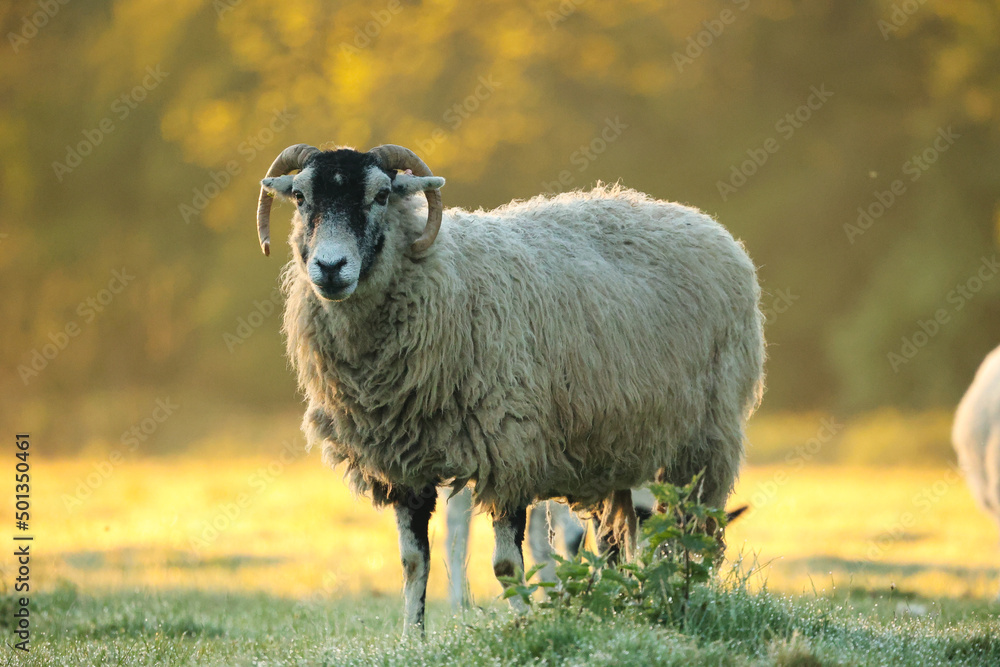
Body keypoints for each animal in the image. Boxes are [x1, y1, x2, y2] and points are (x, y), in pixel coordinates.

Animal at [254, 143, 766, 634]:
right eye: (300, 197)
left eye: (381, 195)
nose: (330, 267)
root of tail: (706, 223)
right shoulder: (405, 465)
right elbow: (413, 561)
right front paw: (411, 639)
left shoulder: (510, 449)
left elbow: (506, 566)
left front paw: (523, 624)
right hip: (620, 444)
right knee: (620, 538)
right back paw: (623, 603)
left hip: (702, 441)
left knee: (687, 535)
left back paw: (679, 597)